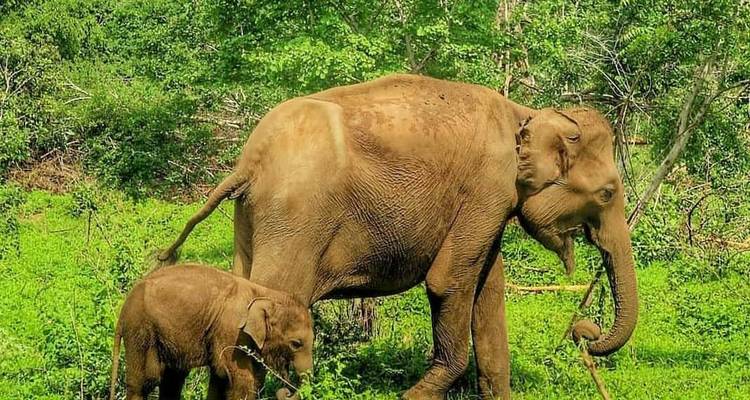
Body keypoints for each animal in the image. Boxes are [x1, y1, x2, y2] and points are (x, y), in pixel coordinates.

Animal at [109, 264, 314, 400]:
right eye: (296, 344)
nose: (285, 392)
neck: (265, 293)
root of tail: (124, 307)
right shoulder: (231, 331)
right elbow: (240, 379)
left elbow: (220, 376)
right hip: (140, 330)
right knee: (144, 381)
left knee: (172, 380)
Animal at [158, 74, 638, 399]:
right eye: (607, 193)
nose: (585, 330)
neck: (527, 114)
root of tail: (248, 162)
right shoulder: (487, 188)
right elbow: (447, 281)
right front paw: (413, 394)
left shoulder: (490, 205)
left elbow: (488, 292)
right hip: (295, 219)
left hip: (252, 218)